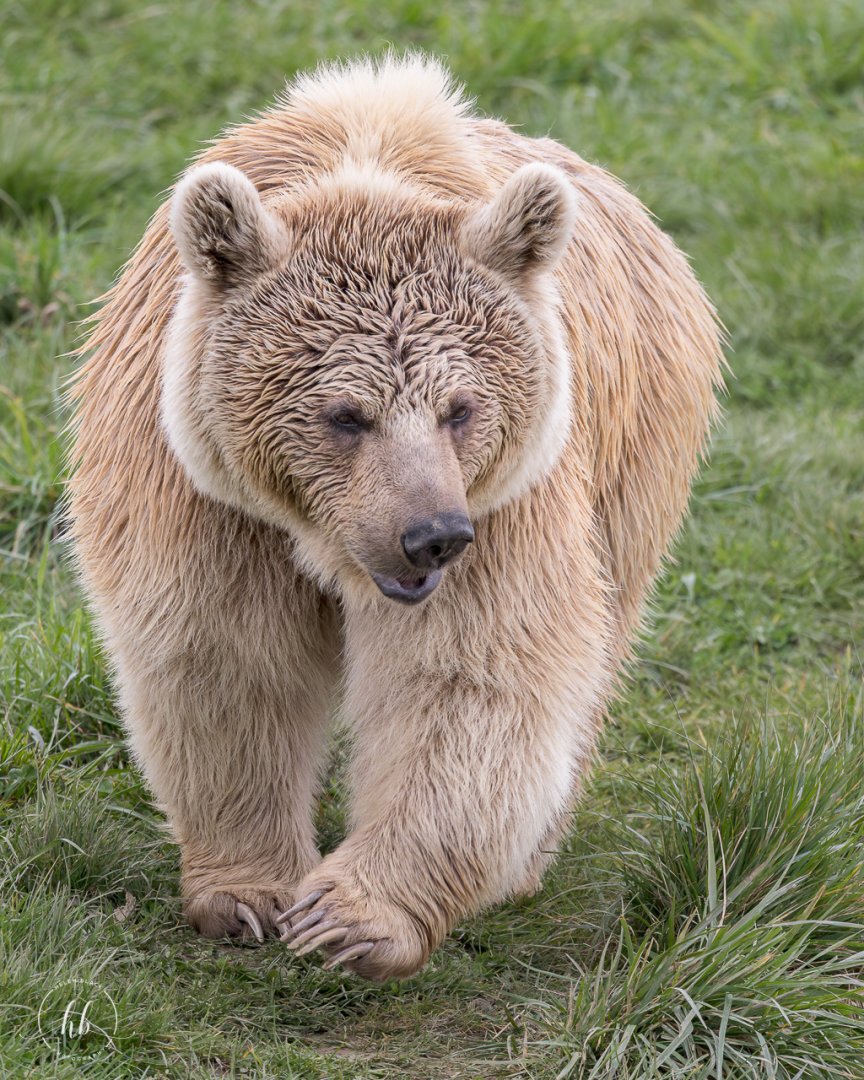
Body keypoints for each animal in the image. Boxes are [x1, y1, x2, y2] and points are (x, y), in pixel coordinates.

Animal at [67, 54, 723, 981]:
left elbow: (467, 677)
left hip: (636, 450)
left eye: (460, 408)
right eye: (345, 415)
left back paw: (525, 863)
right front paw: (247, 893)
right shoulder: (202, 489)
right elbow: (223, 651)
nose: (431, 536)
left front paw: (352, 917)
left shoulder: (506, 500)